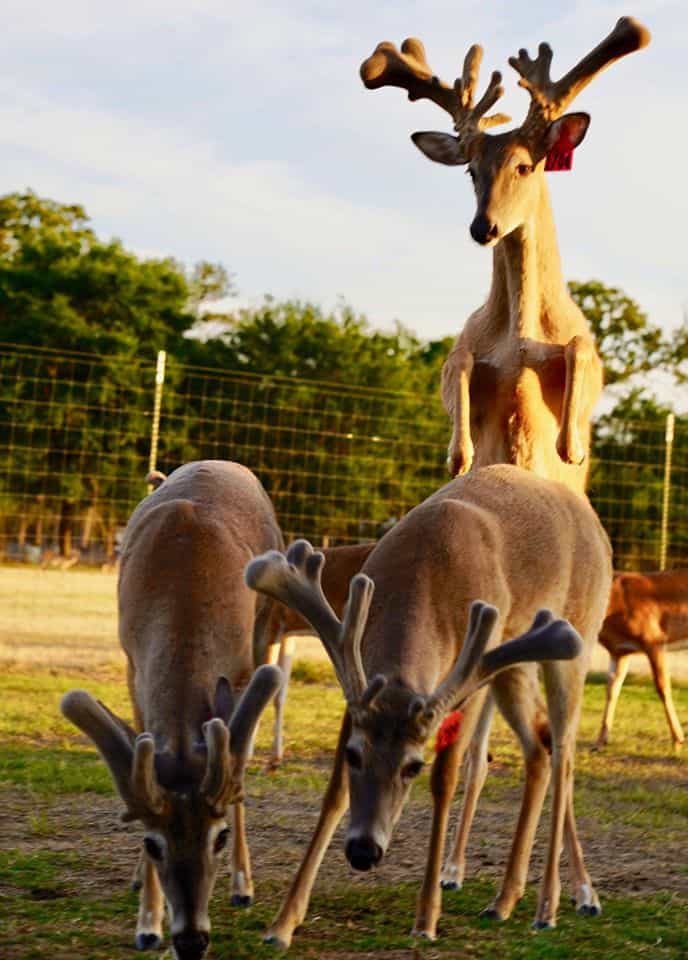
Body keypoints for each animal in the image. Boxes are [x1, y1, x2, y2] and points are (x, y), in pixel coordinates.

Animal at [60, 460, 284, 960]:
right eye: (153, 843)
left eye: (219, 835)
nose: (191, 940)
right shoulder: (132, 663)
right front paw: (148, 921)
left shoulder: (243, 665)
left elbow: (237, 765)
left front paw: (240, 883)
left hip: (266, 629)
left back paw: (243, 885)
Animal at [245, 463, 613, 946]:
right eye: (354, 755)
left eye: (412, 766)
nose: (364, 850)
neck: (425, 576)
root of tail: (598, 526)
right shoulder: (360, 686)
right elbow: (334, 793)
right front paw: (283, 922)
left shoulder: (469, 680)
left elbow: (446, 779)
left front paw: (426, 918)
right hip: (512, 664)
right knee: (539, 747)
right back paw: (504, 901)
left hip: (574, 641)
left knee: (565, 755)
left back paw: (554, 904)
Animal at [360, 17, 650, 494]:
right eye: (470, 170)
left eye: (524, 166)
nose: (484, 227)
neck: (519, 338)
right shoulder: (463, 351)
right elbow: (456, 363)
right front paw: (458, 454)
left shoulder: (589, 362)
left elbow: (580, 352)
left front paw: (571, 447)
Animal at [596, 569, 688, 751]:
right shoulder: (620, 651)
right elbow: (611, 690)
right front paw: (600, 742)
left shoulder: (653, 638)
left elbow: (662, 687)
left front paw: (677, 740)